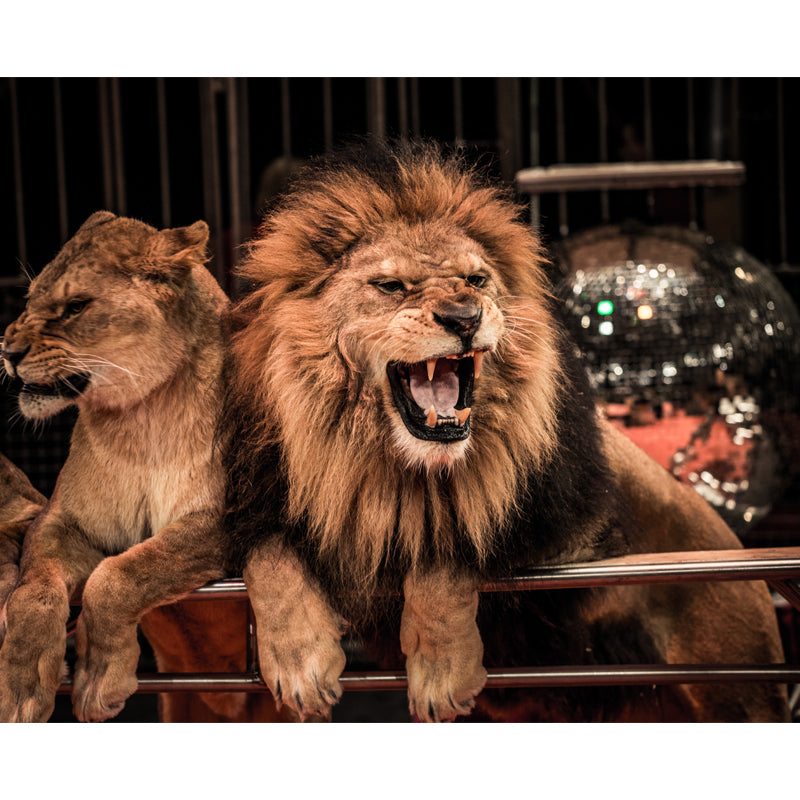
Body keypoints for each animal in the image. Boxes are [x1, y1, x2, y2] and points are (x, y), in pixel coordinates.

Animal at [0, 211, 286, 723]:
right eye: (30, 299)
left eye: (76, 306)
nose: (6, 352)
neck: (141, 418)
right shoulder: (60, 520)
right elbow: (33, 591)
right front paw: (21, 687)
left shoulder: (231, 518)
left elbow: (121, 573)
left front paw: (98, 679)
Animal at [224, 140, 790, 722]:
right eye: (390, 286)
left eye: (476, 280)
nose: (463, 317)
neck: (398, 465)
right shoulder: (256, 500)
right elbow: (266, 557)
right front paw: (300, 667)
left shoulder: (575, 528)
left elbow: (450, 543)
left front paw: (440, 673)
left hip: (739, 689)